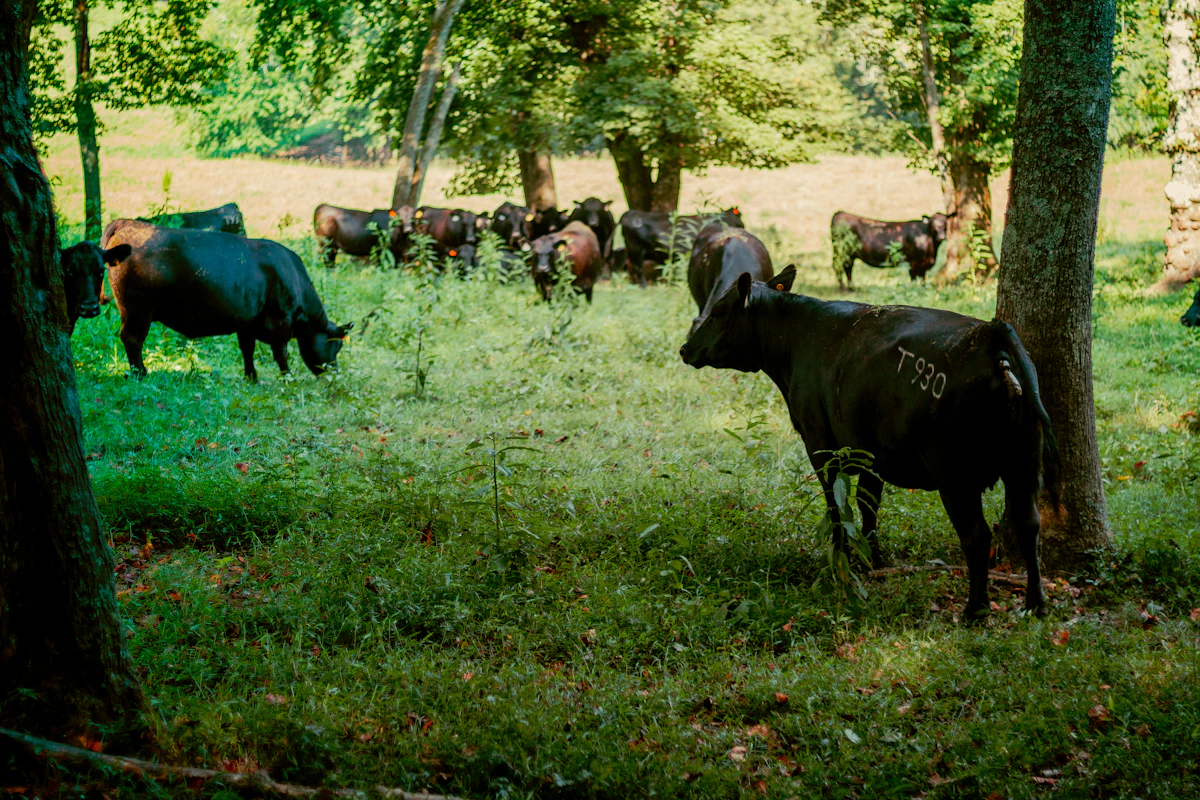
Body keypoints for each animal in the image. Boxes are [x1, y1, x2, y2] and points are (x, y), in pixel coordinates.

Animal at [100, 219, 351, 379]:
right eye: (336, 345)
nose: (335, 373)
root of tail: (129, 223)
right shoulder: (281, 322)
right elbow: (281, 354)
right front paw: (287, 378)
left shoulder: (247, 323)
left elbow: (247, 350)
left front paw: (251, 377)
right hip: (138, 311)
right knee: (132, 339)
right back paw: (140, 374)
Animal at [679, 266, 1061, 622]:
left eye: (718, 311)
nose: (685, 348)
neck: (798, 338)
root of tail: (989, 333)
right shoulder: (874, 454)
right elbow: (868, 505)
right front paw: (872, 559)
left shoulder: (820, 444)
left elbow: (836, 505)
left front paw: (843, 558)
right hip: (1025, 462)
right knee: (1030, 524)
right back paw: (1035, 604)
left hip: (953, 472)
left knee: (977, 536)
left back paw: (975, 609)